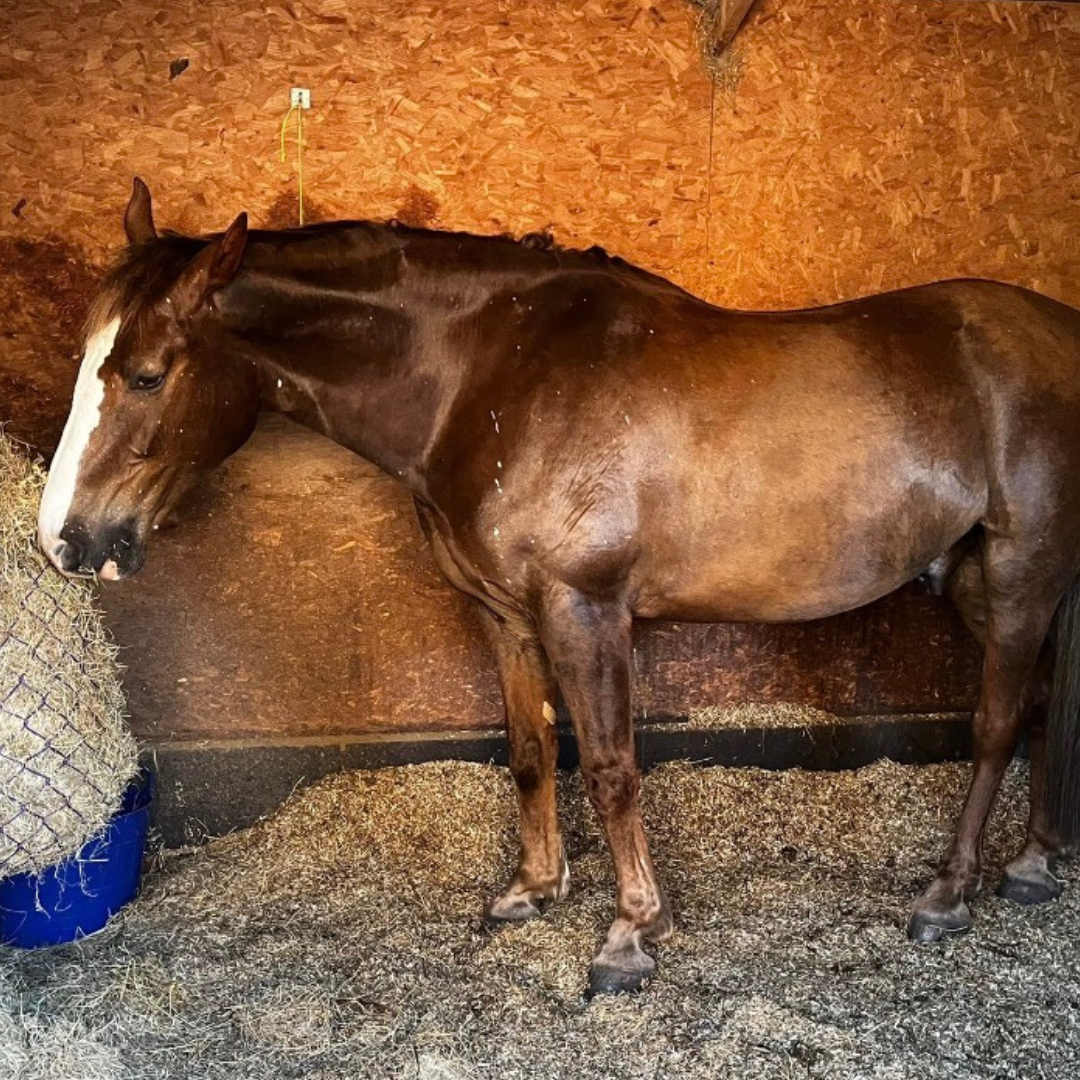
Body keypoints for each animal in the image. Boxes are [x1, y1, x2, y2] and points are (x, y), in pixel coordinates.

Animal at [38, 179, 1080, 995]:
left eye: (145, 375)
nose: (65, 539)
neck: (487, 380)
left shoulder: (587, 609)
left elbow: (612, 768)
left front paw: (630, 935)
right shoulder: (505, 615)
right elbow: (532, 750)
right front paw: (534, 890)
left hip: (1019, 572)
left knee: (996, 724)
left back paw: (948, 893)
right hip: (995, 582)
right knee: (1042, 706)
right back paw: (1031, 865)